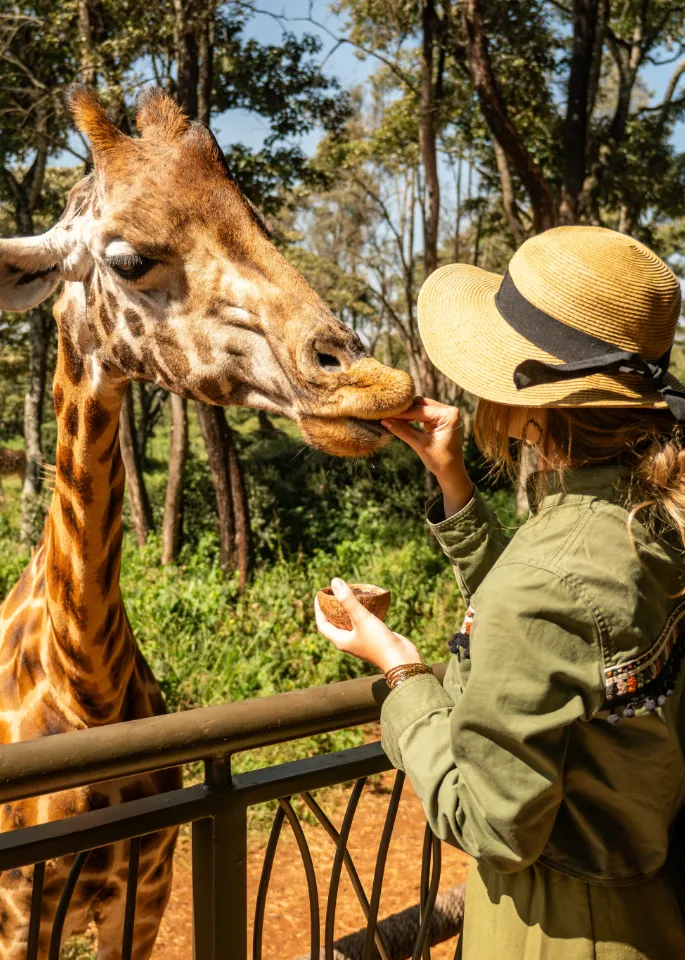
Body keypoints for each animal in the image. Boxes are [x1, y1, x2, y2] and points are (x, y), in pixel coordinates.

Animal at [0, 86, 414, 959]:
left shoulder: (144, 897)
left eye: (259, 221)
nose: (370, 381)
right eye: (128, 260)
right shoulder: (18, 914)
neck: (85, 688)